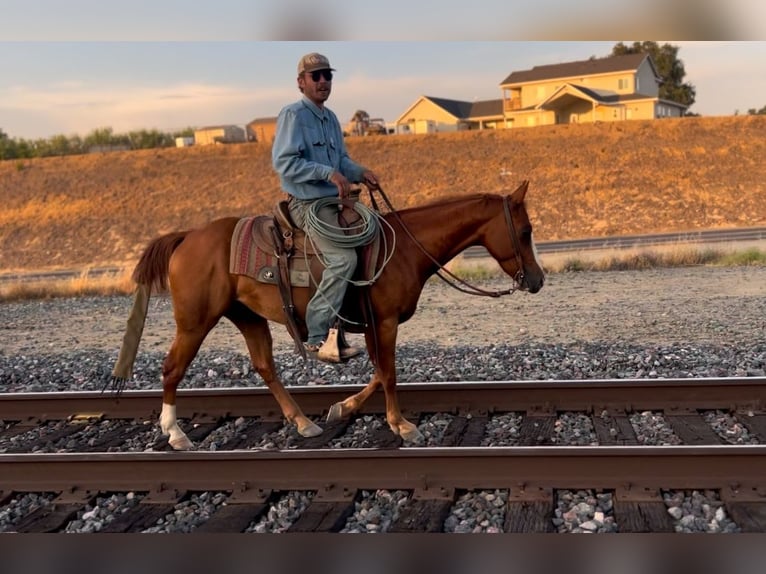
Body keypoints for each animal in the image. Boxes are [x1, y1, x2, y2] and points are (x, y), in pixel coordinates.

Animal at [111, 180, 545, 449]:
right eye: (525, 232)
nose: (537, 280)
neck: (405, 248)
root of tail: (186, 236)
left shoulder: (372, 324)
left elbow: (378, 372)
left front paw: (344, 407)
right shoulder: (383, 322)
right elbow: (388, 373)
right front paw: (402, 425)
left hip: (247, 316)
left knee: (265, 366)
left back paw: (304, 422)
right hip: (195, 321)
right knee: (172, 368)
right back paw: (176, 434)